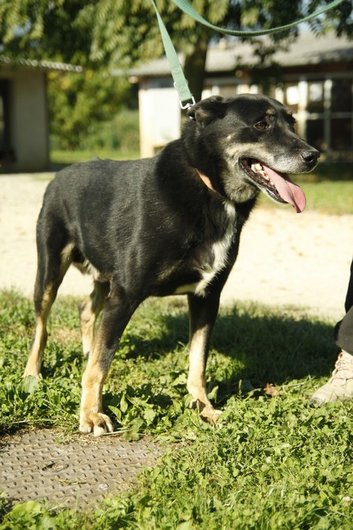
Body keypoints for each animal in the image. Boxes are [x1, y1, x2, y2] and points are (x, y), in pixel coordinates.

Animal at [23, 94, 318, 434]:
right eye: (261, 124)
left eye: (292, 122)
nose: (313, 156)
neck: (210, 189)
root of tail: (59, 175)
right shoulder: (124, 295)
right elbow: (101, 363)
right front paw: (91, 415)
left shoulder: (207, 296)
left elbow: (198, 361)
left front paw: (203, 407)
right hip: (50, 267)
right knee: (42, 326)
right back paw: (32, 374)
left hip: (103, 273)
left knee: (86, 309)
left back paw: (84, 348)